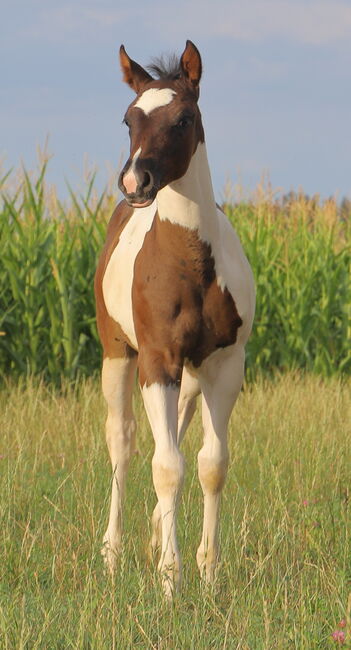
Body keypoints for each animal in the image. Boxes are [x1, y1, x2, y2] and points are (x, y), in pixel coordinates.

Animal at [94, 40, 256, 596]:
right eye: (128, 119)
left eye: (184, 118)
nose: (134, 180)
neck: (190, 263)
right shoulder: (157, 361)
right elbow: (165, 466)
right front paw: (170, 578)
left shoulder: (224, 365)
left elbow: (211, 465)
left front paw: (207, 570)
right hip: (118, 356)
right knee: (122, 445)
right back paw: (113, 554)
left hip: (189, 375)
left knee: (181, 435)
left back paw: (149, 539)